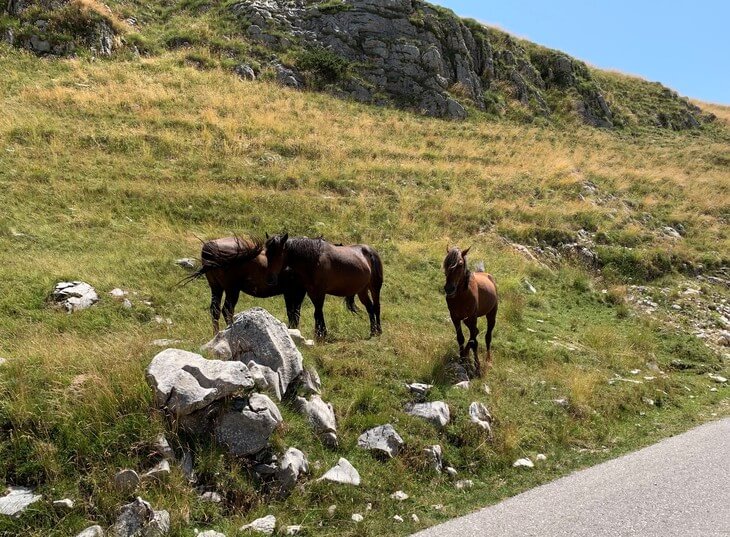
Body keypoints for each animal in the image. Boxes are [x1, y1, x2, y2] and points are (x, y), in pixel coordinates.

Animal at [443, 246, 498, 377]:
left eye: (460, 264)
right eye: (446, 263)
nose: (449, 289)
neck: (462, 296)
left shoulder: (472, 317)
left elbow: (473, 341)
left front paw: (477, 367)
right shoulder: (455, 317)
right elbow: (461, 338)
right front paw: (462, 359)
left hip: (491, 315)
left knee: (487, 336)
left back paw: (488, 361)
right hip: (467, 320)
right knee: (475, 333)